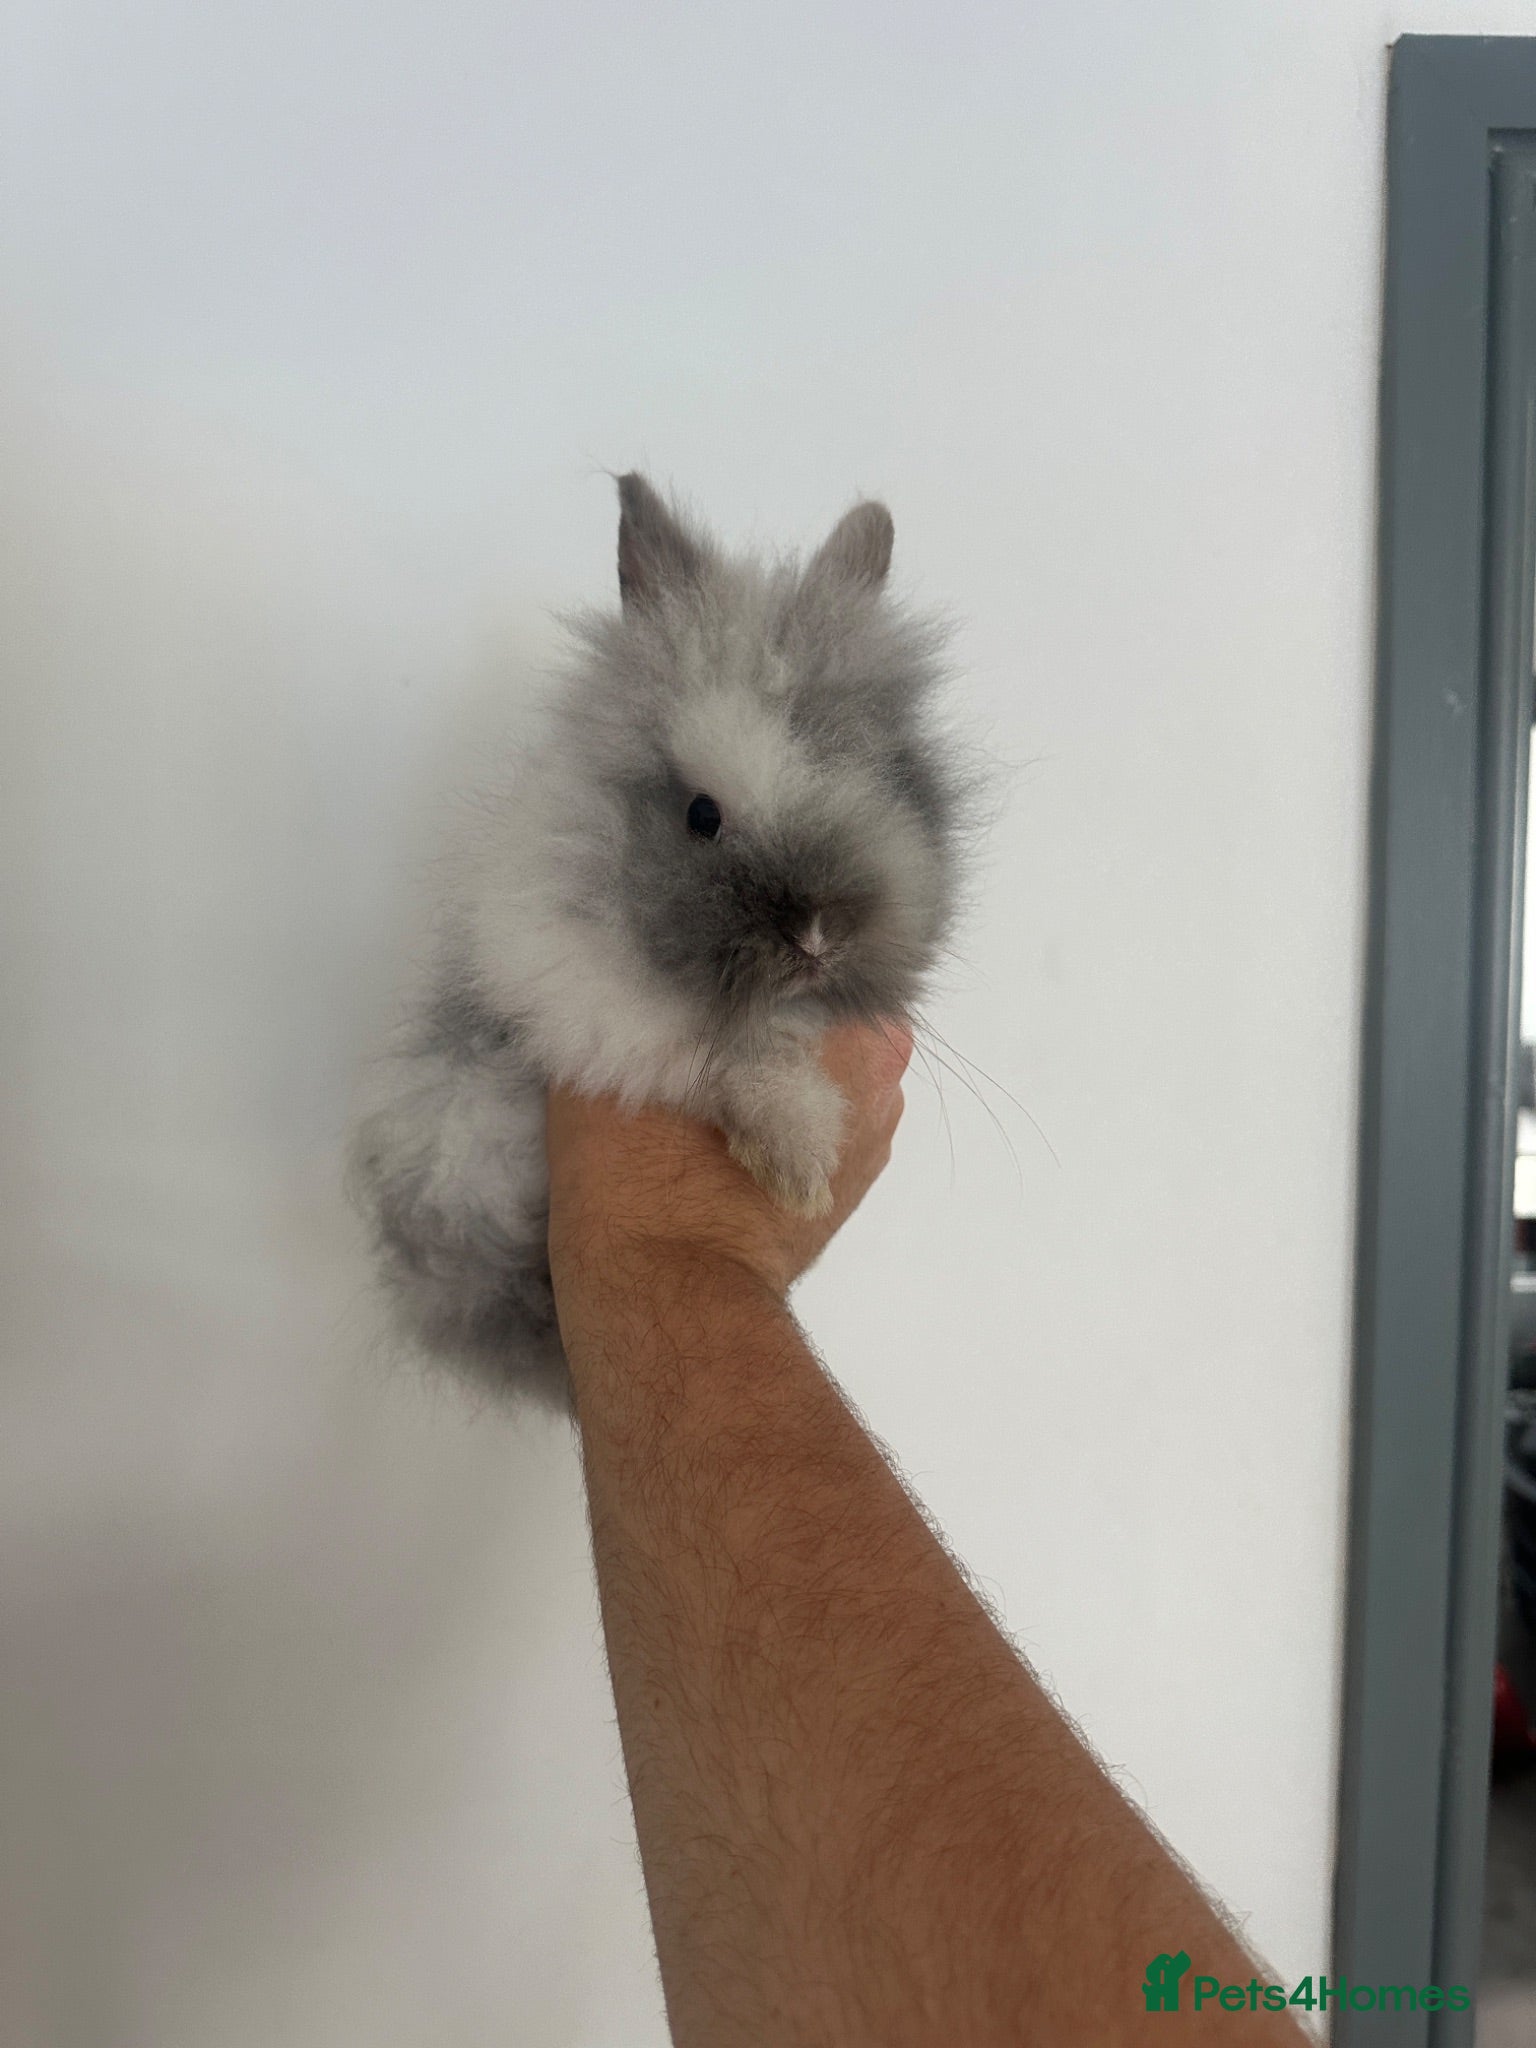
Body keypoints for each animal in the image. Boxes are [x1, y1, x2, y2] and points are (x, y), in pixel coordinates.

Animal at [348, 473, 975, 1406]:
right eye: (701, 816)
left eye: (893, 782)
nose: (817, 937)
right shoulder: (583, 1006)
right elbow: (739, 1062)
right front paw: (797, 1166)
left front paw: (796, 1163)